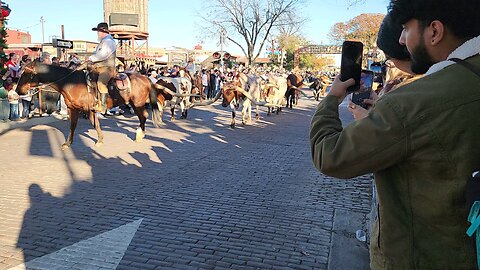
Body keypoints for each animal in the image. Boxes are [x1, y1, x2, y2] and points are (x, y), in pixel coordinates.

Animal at [15, 60, 163, 150]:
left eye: (27, 73)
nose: (17, 91)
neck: (71, 82)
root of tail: (145, 78)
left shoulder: (80, 109)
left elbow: (80, 125)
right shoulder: (77, 109)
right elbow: (88, 124)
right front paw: (96, 140)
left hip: (137, 104)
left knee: (143, 116)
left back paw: (139, 135)